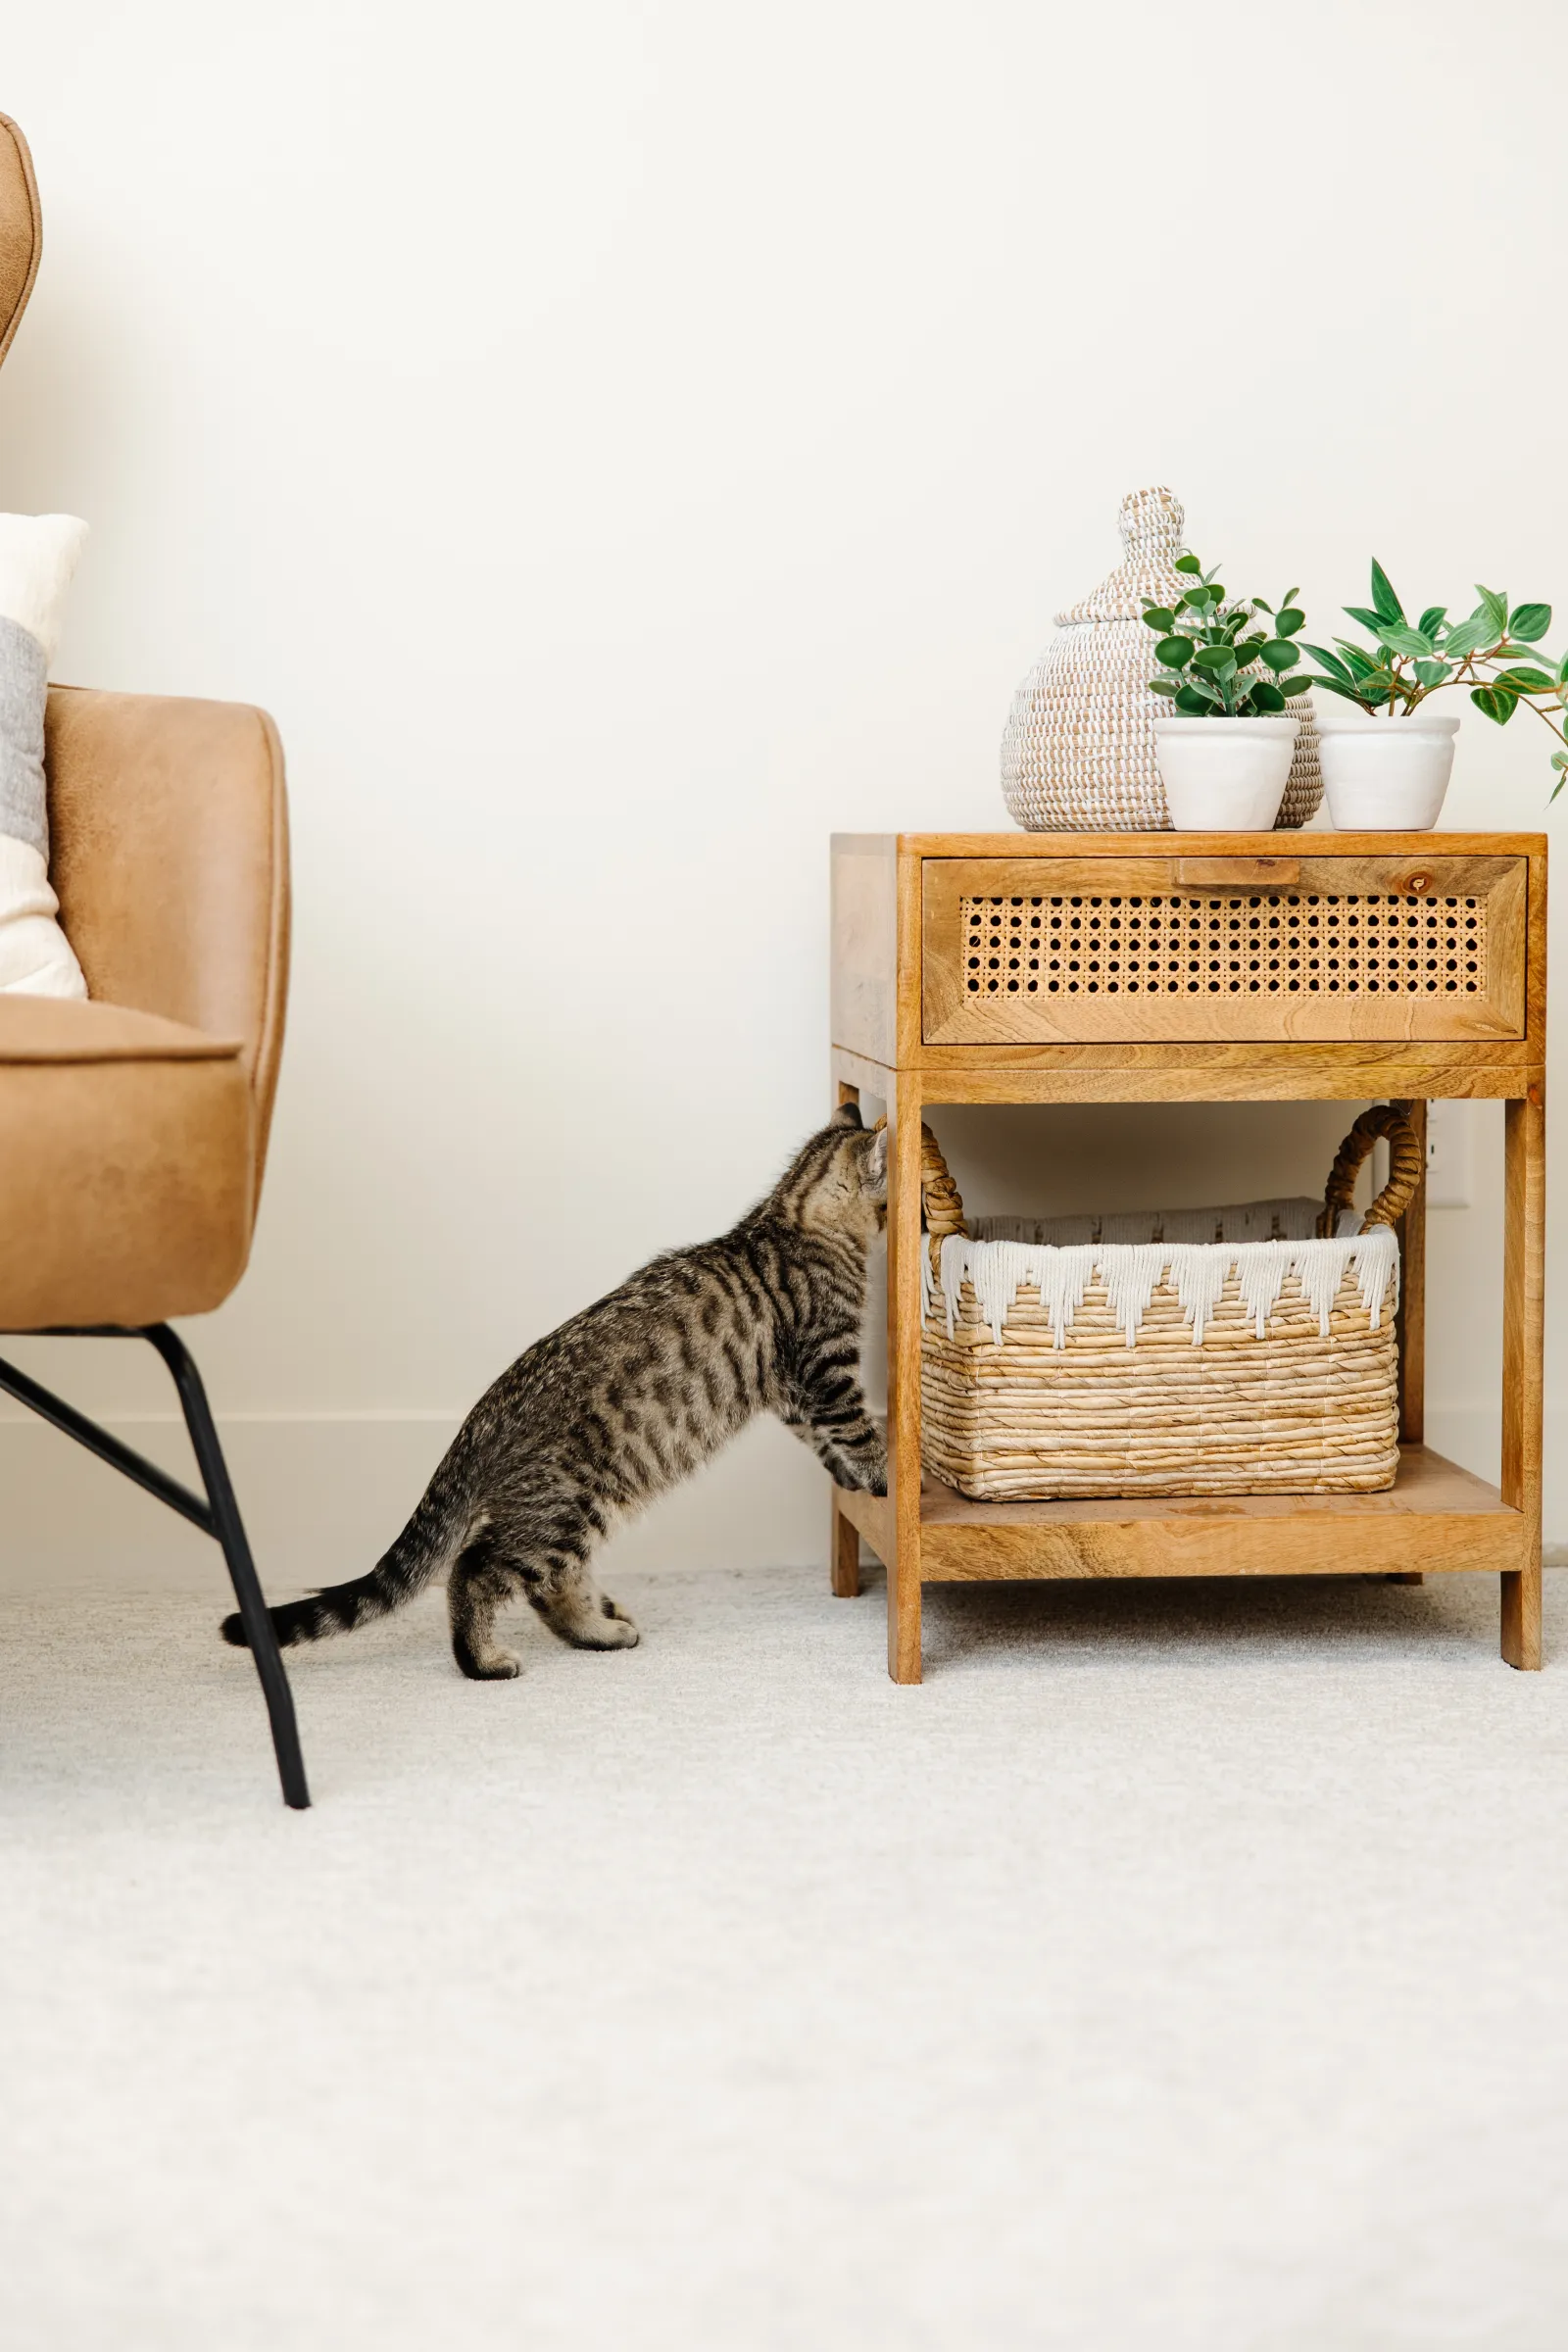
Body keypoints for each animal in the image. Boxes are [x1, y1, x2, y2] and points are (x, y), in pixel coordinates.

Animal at [221, 1101, 888, 1674]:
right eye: (885, 1206)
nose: (891, 1220)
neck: (787, 1220)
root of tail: (480, 1417)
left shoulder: (792, 1395)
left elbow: (826, 1443)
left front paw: (852, 1480)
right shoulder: (825, 1369)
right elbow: (857, 1431)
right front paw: (884, 1478)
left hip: (585, 1506)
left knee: (550, 1584)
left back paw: (599, 1631)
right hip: (566, 1503)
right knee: (477, 1568)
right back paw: (484, 1660)